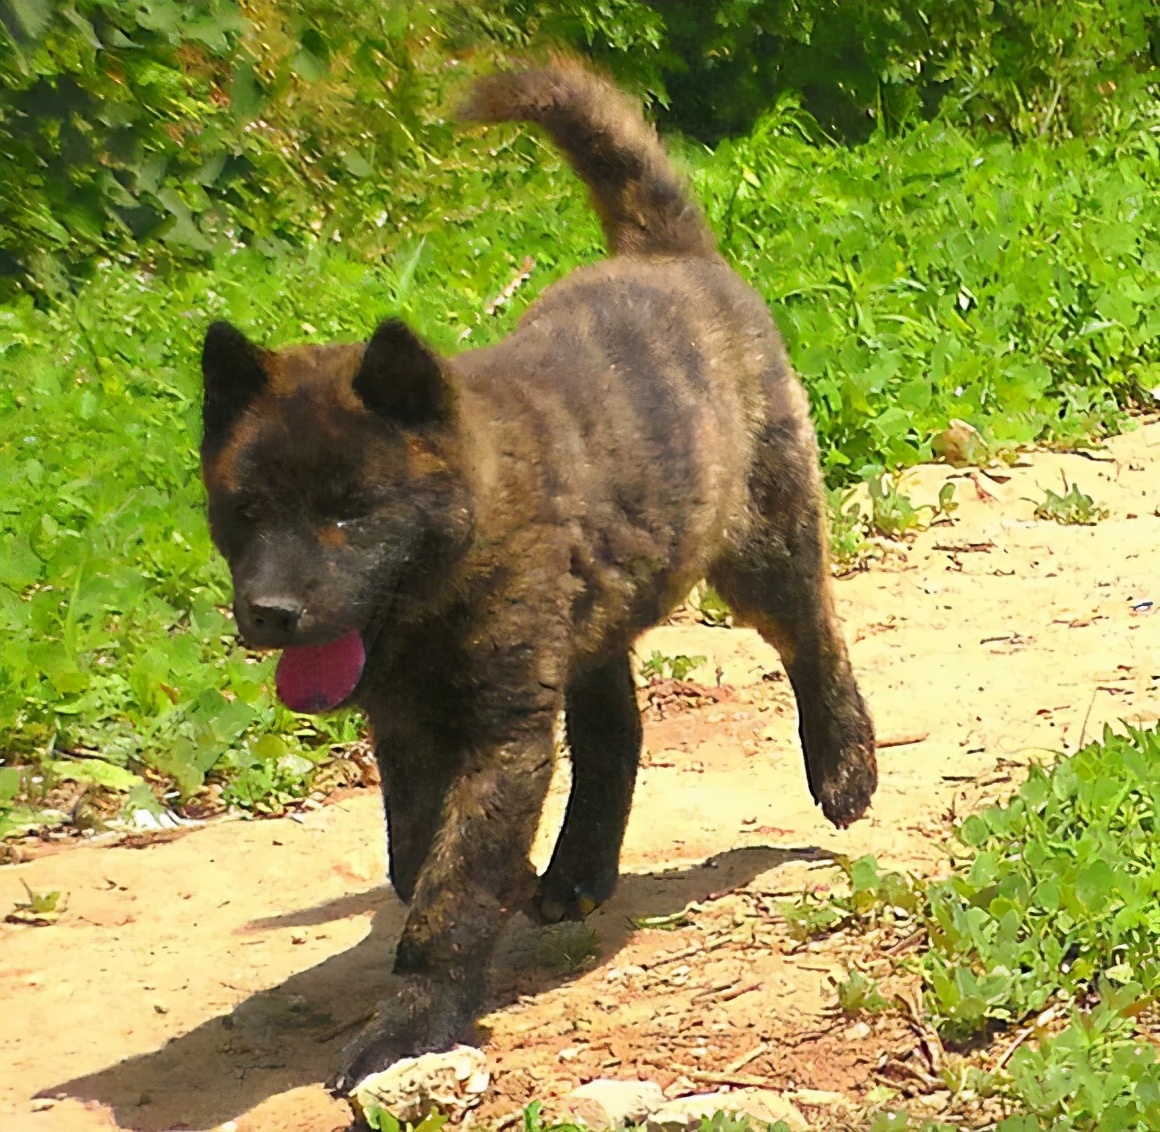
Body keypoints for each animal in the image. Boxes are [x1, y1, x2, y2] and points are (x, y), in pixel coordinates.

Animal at [199, 64, 872, 1085]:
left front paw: (410, 1024)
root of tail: (671, 256)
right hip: (601, 602)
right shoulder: (408, 726)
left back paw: (844, 765)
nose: (269, 612)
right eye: (244, 513)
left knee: (813, 635)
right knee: (615, 733)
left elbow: (450, 887)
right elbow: (417, 853)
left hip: (761, 540)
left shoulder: (501, 731)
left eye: (349, 512)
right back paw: (579, 870)